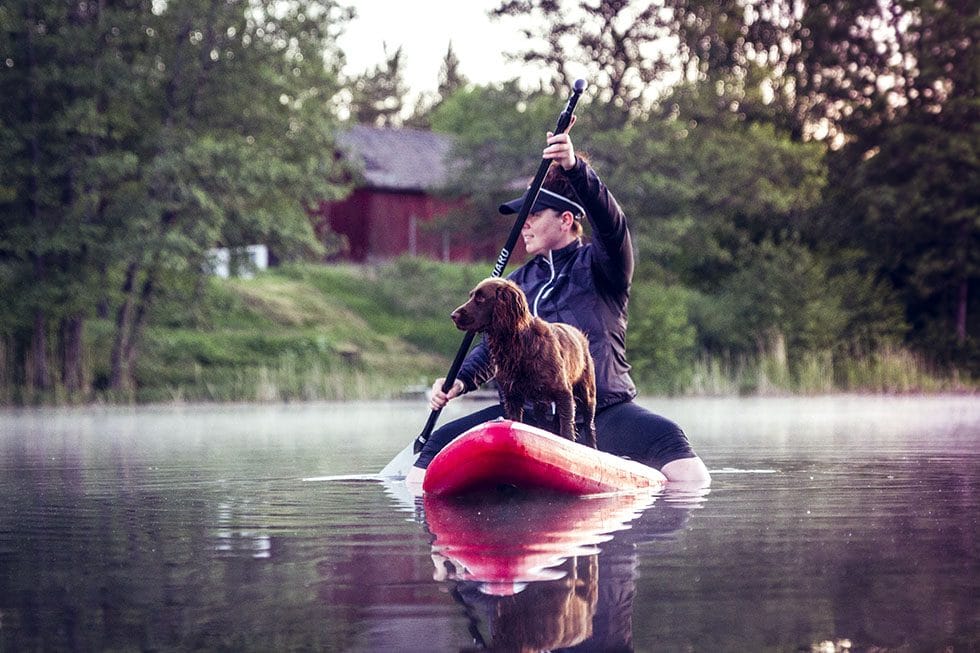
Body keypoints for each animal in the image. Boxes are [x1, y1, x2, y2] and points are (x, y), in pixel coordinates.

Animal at [452, 278, 596, 446]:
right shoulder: (513, 397)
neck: (517, 345)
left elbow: (567, 431)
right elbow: (516, 421)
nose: (453, 315)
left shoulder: (564, 394)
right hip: (540, 403)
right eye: (471, 296)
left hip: (586, 395)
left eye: (480, 298)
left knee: (589, 426)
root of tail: (580, 334)